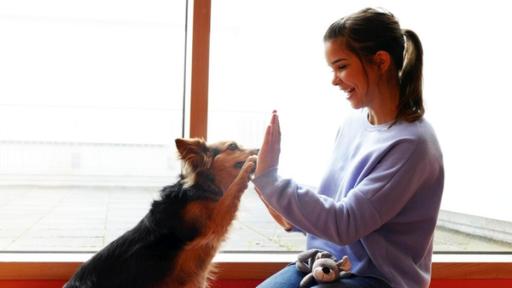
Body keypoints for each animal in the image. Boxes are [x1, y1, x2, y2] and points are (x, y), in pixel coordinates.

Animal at [64, 137, 258, 288]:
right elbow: (233, 191)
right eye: (232, 146)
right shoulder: (211, 223)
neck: (203, 185)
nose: (258, 149)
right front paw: (249, 166)